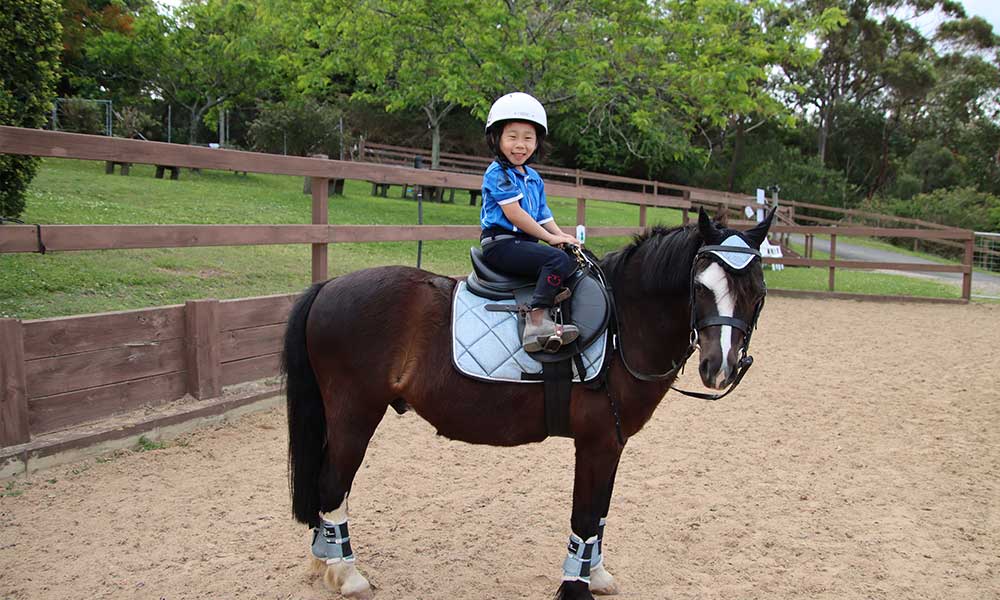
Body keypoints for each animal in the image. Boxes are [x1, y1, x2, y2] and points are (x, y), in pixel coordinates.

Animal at [282, 209, 772, 596]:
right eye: (700, 287)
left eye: (757, 291)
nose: (719, 366)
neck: (623, 323)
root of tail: (328, 286)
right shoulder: (596, 443)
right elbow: (585, 516)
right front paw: (576, 588)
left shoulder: (614, 444)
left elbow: (599, 515)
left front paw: (596, 575)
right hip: (355, 415)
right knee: (333, 485)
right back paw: (346, 573)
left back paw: (325, 558)